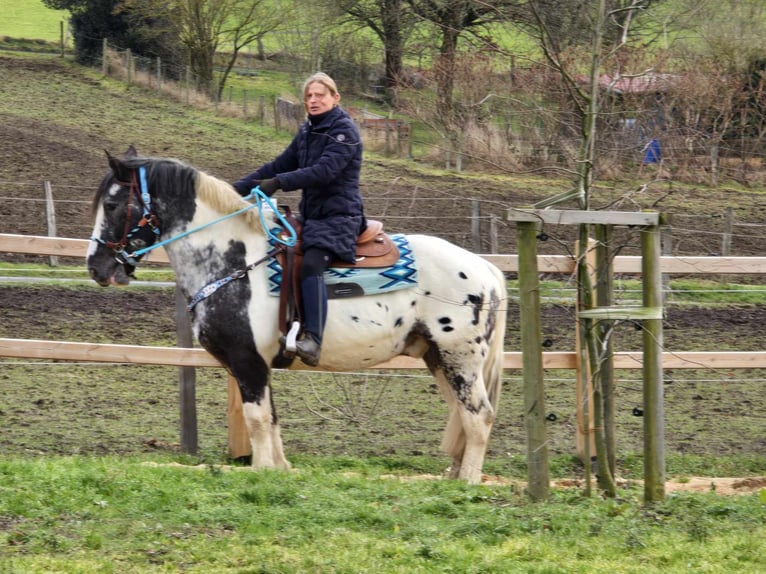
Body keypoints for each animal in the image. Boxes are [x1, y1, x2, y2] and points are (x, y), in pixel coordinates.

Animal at [87, 146, 510, 484]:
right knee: (461, 415)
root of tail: (486, 268)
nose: (97, 267)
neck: (234, 261)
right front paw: (280, 470)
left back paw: (467, 483)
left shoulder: (247, 361)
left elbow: (257, 420)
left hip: (460, 359)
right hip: (436, 358)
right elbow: (271, 420)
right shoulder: (257, 363)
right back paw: (453, 476)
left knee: (479, 416)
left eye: (112, 204)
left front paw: (260, 474)